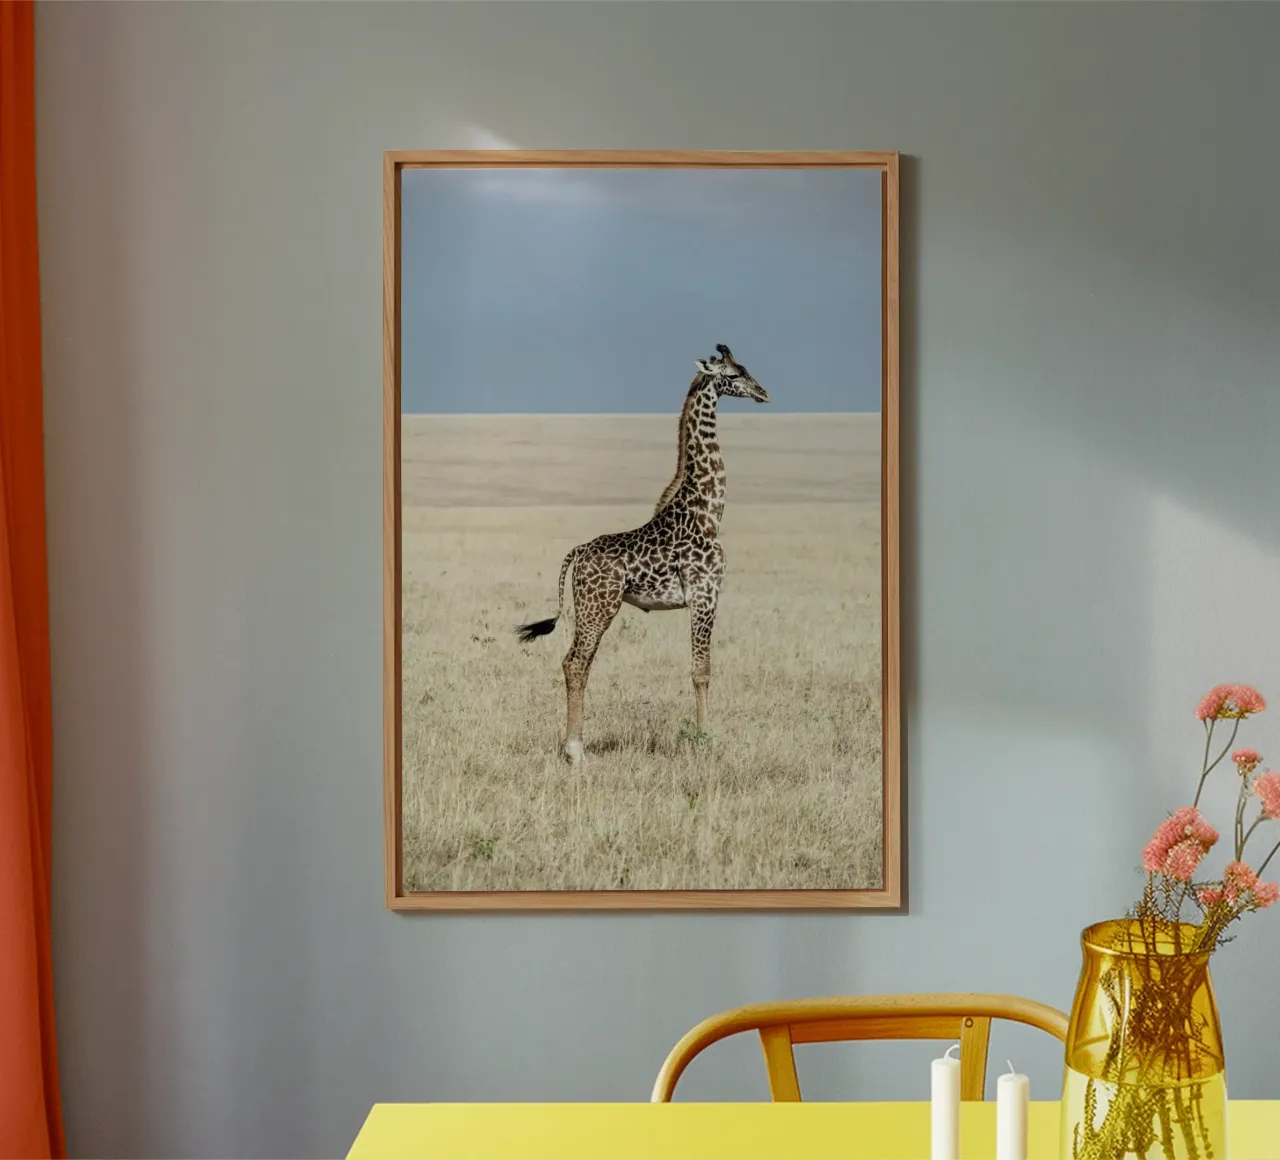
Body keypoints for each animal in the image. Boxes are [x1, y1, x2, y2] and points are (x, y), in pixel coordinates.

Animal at [515, 344, 770, 764]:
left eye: (746, 369)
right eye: (733, 375)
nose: (763, 393)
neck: (708, 512)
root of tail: (578, 552)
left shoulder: (704, 597)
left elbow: (700, 669)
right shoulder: (705, 595)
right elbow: (701, 670)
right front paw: (704, 739)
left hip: (593, 608)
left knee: (578, 663)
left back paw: (575, 746)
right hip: (597, 607)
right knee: (575, 662)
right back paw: (575, 751)